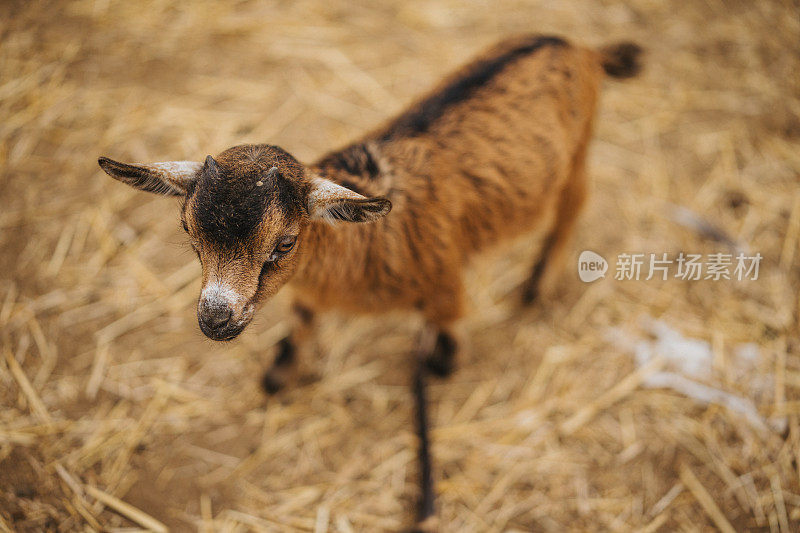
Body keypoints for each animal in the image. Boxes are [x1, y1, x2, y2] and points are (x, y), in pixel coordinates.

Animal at [97, 34, 640, 528]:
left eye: (284, 243)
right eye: (188, 231)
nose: (214, 319)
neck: (361, 245)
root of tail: (578, 46)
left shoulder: (445, 284)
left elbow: (447, 340)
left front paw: (439, 367)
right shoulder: (309, 296)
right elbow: (300, 326)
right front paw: (281, 374)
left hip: (578, 153)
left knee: (572, 206)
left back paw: (534, 288)